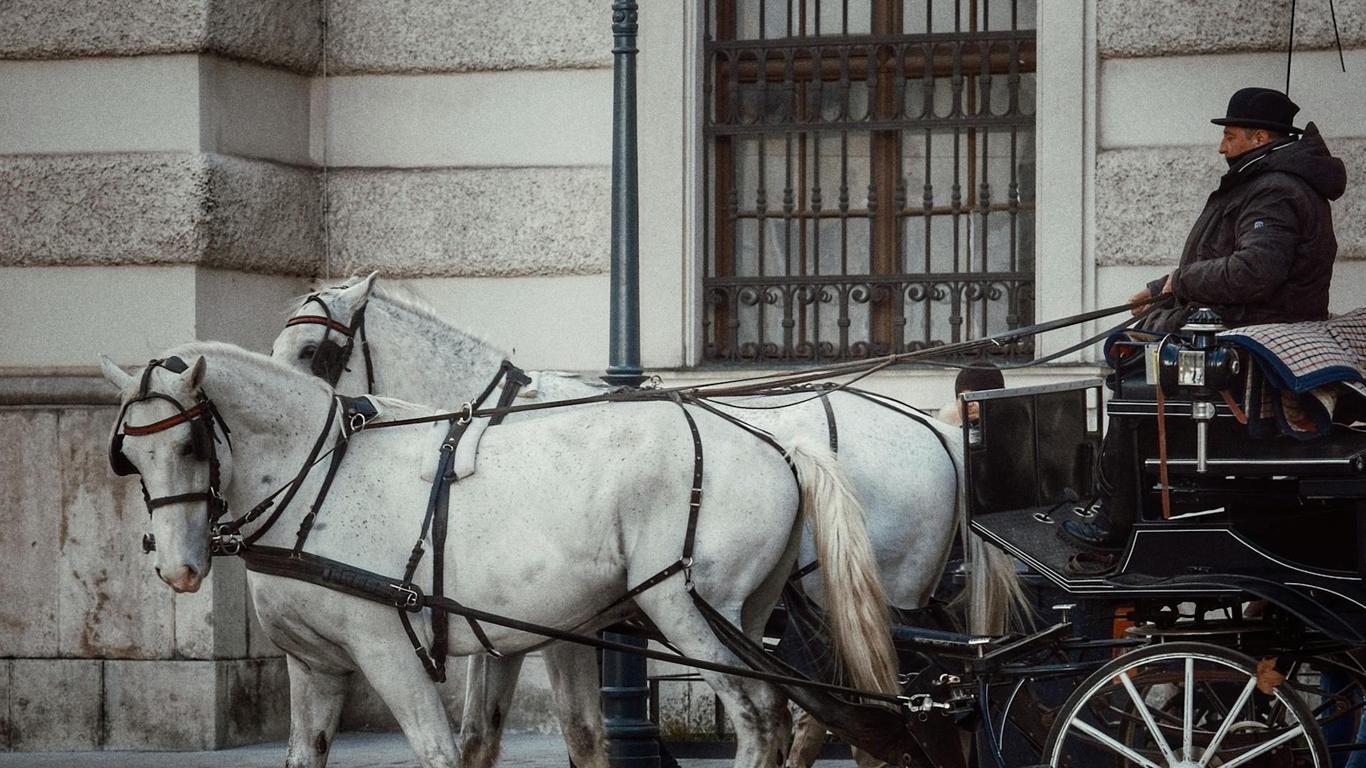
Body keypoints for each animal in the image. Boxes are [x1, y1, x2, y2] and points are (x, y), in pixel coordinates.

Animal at [101, 341, 901, 765]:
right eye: (130, 459)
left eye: (191, 443)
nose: (178, 569)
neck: (318, 478)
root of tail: (779, 441)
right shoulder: (317, 665)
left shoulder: (385, 647)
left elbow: (439, 750)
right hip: (745, 611)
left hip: (685, 606)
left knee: (760, 716)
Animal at [271, 274, 1027, 765]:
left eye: (312, 353)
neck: (493, 431)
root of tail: (943, 431)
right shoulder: (498, 624)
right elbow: (480, 737)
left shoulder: (557, 627)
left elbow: (580, 731)